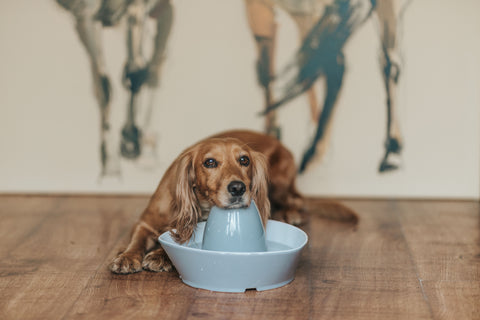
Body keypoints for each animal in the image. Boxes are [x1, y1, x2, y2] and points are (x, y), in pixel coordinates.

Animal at [109, 129, 356, 274]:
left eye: (244, 160)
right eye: (209, 162)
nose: (238, 188)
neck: (201, 205)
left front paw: (160, 255)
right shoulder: (145, 222)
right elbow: (137, 239)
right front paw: (127, 257)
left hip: (277, 182)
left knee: (296, 200)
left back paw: (291, 213)